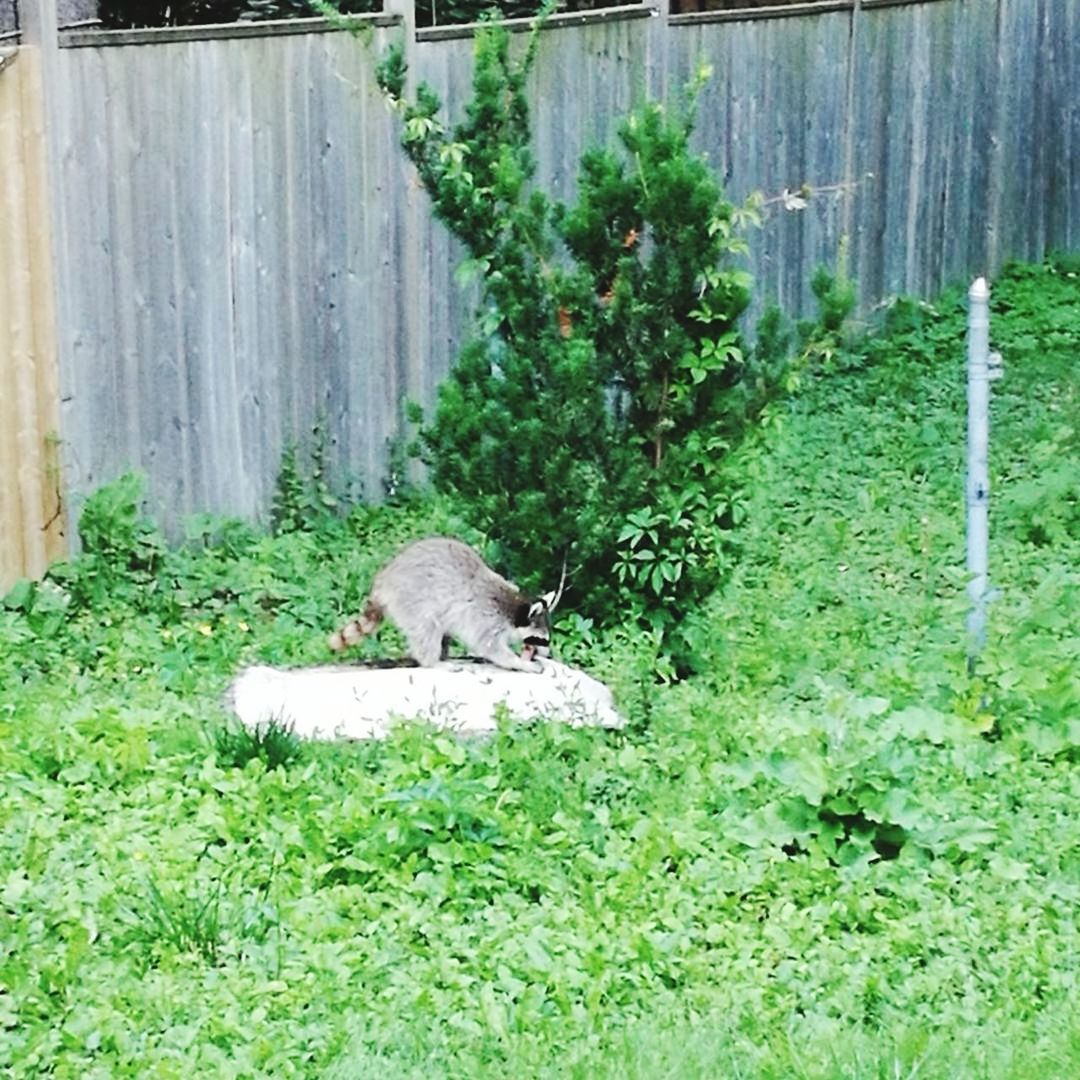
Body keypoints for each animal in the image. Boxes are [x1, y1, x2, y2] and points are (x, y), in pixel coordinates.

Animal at [326, 535, 565, 669]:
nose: (548, 655)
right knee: (427, 628)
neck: (514, 607)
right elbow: (491, 647)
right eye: (542, 640)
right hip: (411, 597)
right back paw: (433, 663)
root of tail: (382, 582)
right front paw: (519, 663)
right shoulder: (486, 618)